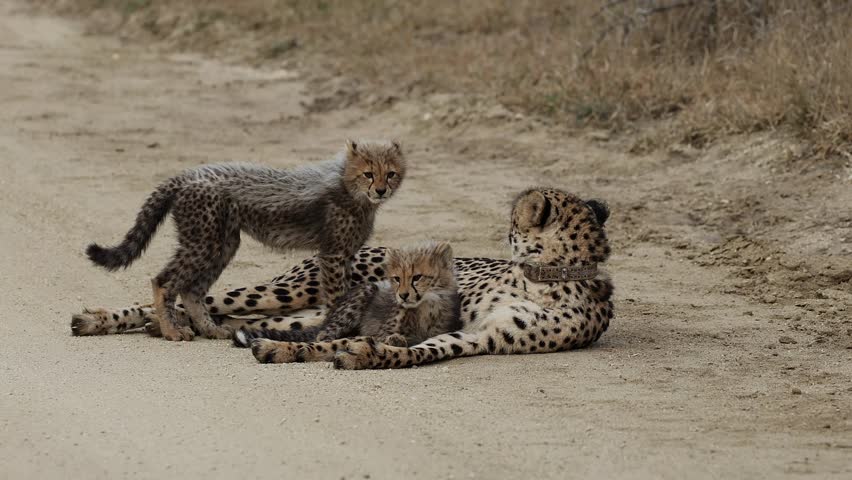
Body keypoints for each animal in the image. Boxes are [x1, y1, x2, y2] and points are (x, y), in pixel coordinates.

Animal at [82, 139, 404, 342]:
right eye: (368, 174)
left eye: (391, 174)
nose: (381, 190)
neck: (352, 191)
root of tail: (187, 175)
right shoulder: (333, 254)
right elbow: (337, 296)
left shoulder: (345, 254)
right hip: (217, 249)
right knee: (165, 284)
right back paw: (167, 329)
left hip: (222, 244)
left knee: (194, 293)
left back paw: (202, 329)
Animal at [235, 241, 462, 364]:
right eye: (397, 279)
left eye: (417, 277)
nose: (403, 295)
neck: (427, 305)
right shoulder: (380, 328)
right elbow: (387, 336)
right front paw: (396, 339)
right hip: (365, 292)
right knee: (323, 336)